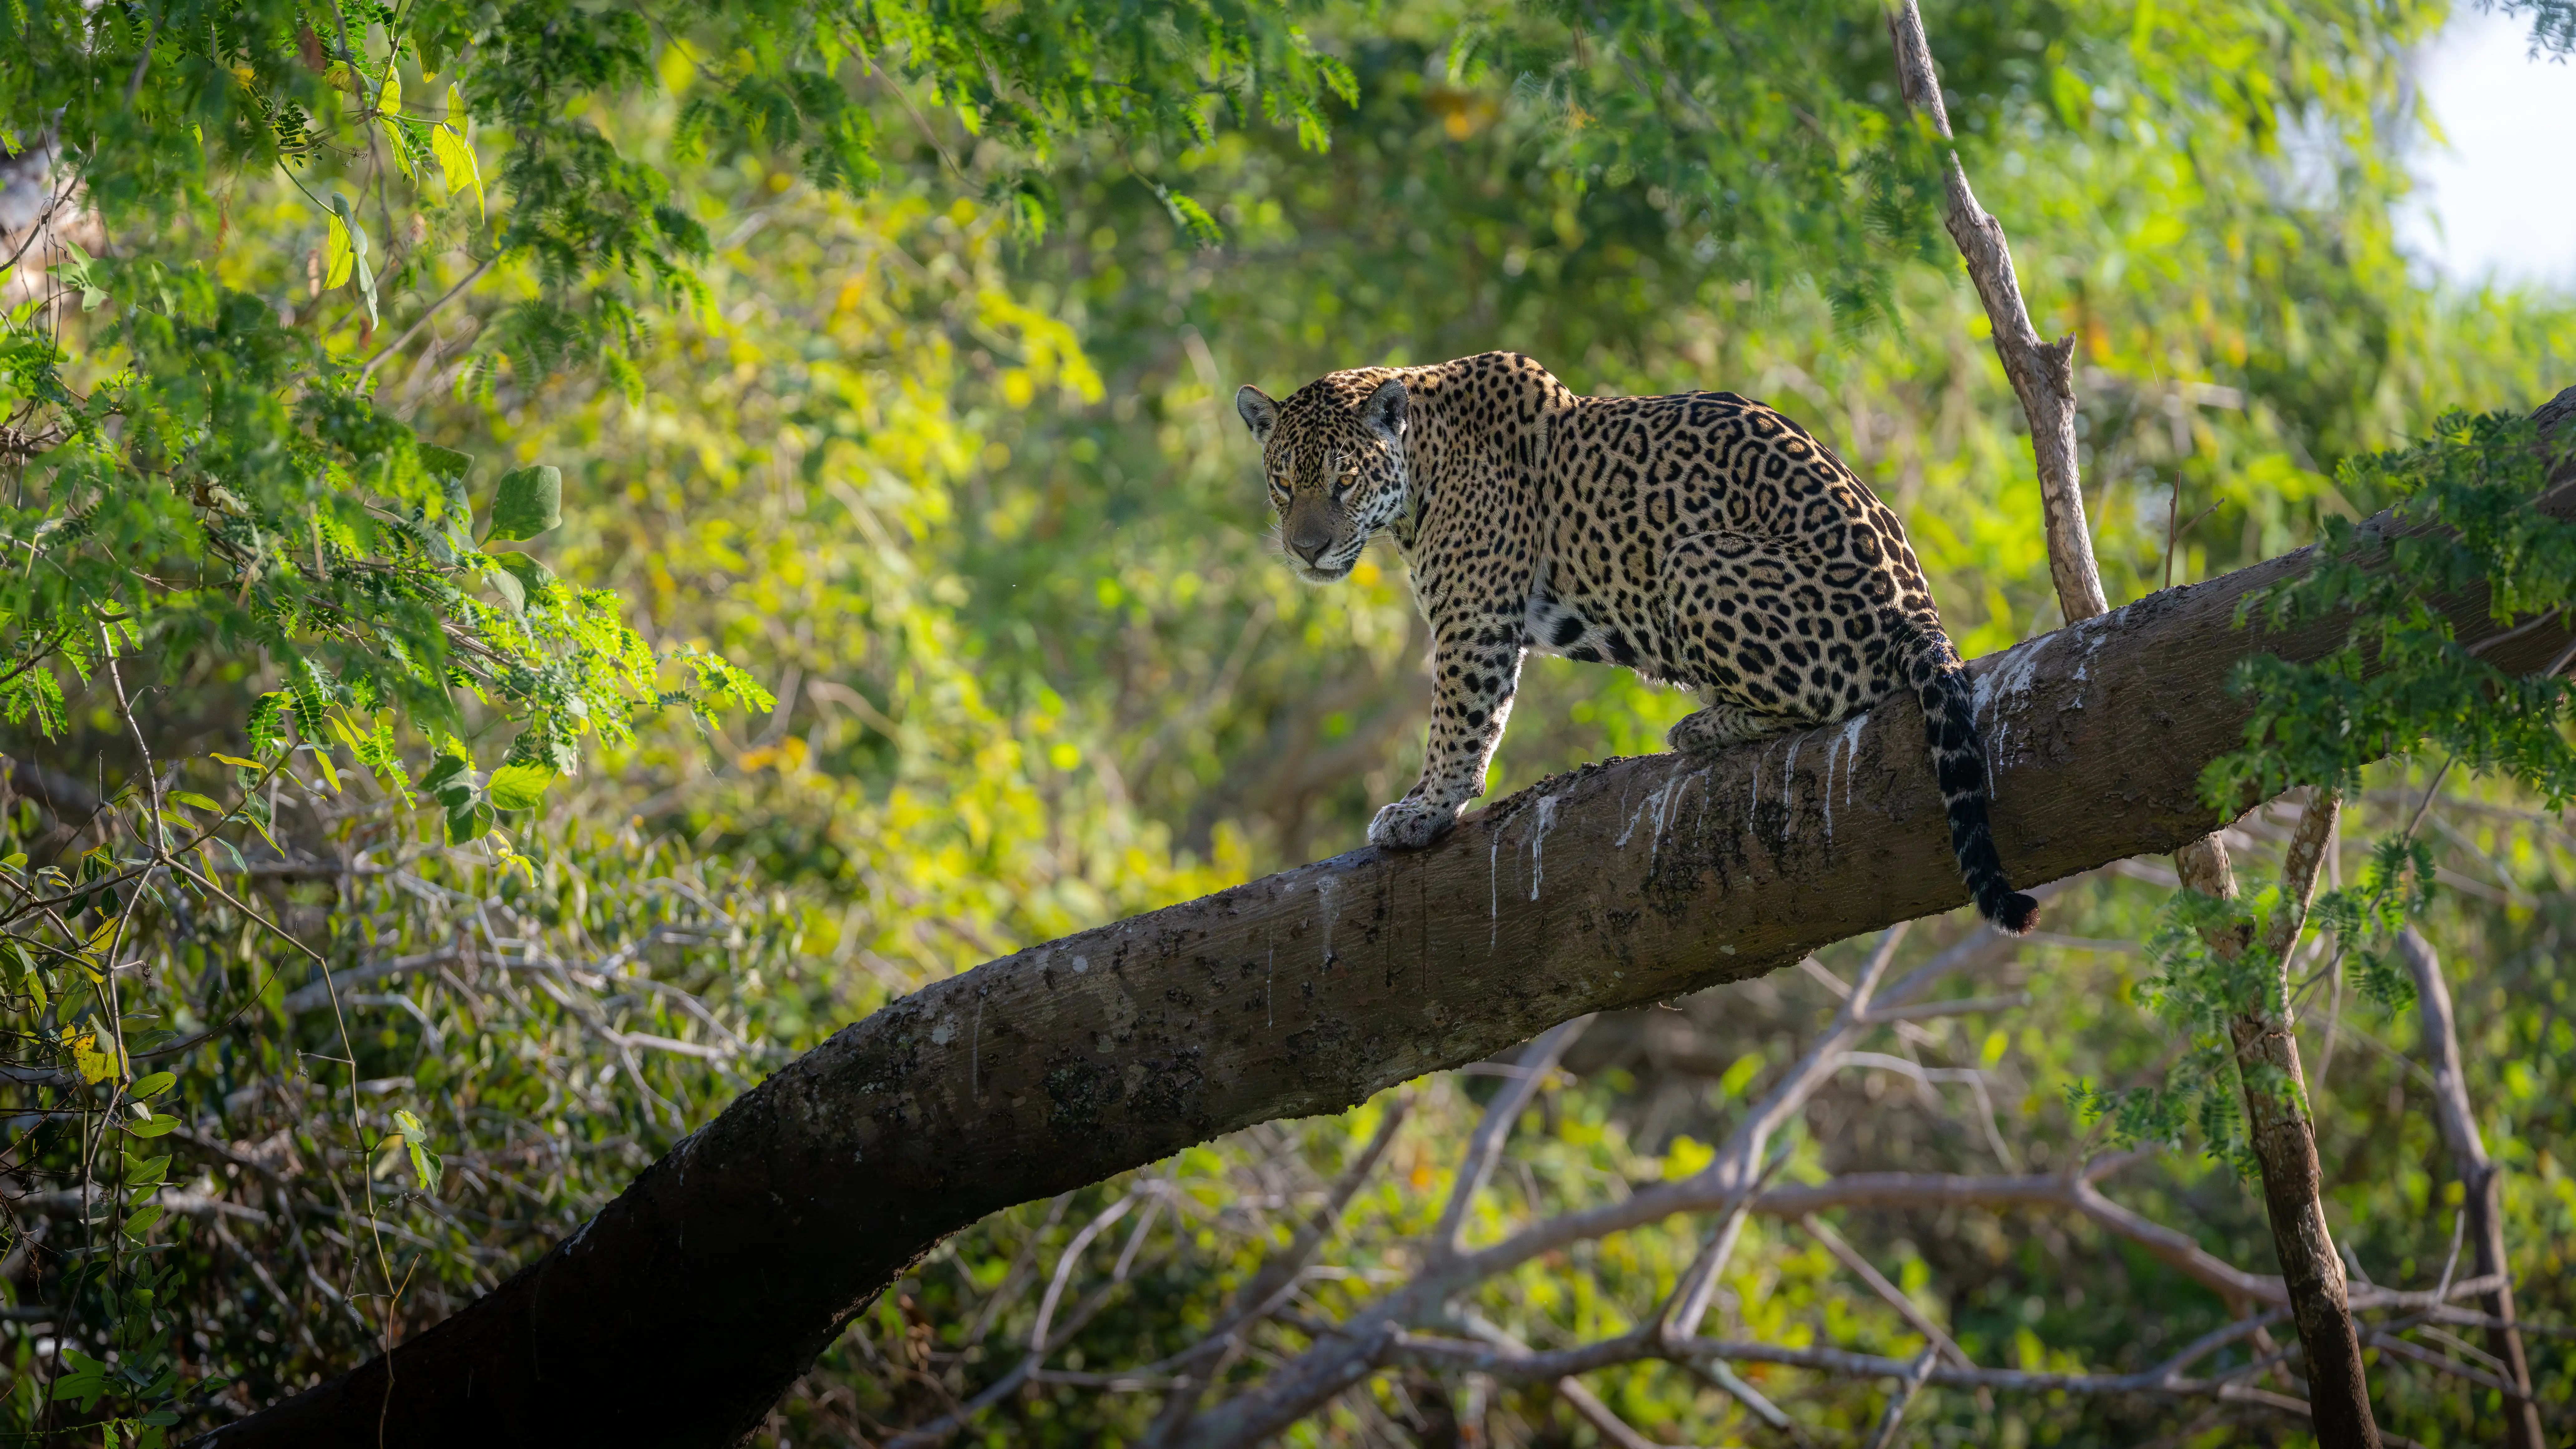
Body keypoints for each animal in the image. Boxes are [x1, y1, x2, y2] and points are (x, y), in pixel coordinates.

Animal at [1236, 350, 2039, 935]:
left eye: (1343, 480)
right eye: (1282, 483)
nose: (1306, 550)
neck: (1423, 462)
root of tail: (1920, 613)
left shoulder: (1475, 620)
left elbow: (1460, 725)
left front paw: (1425, 811)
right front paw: (1419, 802)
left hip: (1691, 559)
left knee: (1831, 701)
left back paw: (1702, 725)